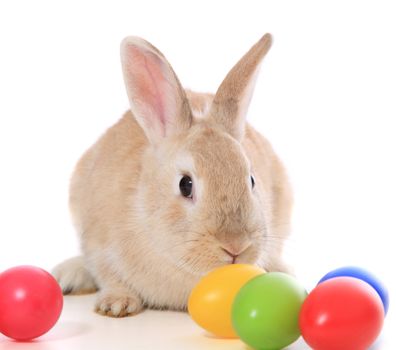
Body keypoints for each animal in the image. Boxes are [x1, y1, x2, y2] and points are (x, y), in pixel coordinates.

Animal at [52, 32, 292, 318]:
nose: (235, 246)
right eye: (185, 185)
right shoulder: (98, 243)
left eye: (252, 180)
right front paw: (116, 304)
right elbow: (109, 275)